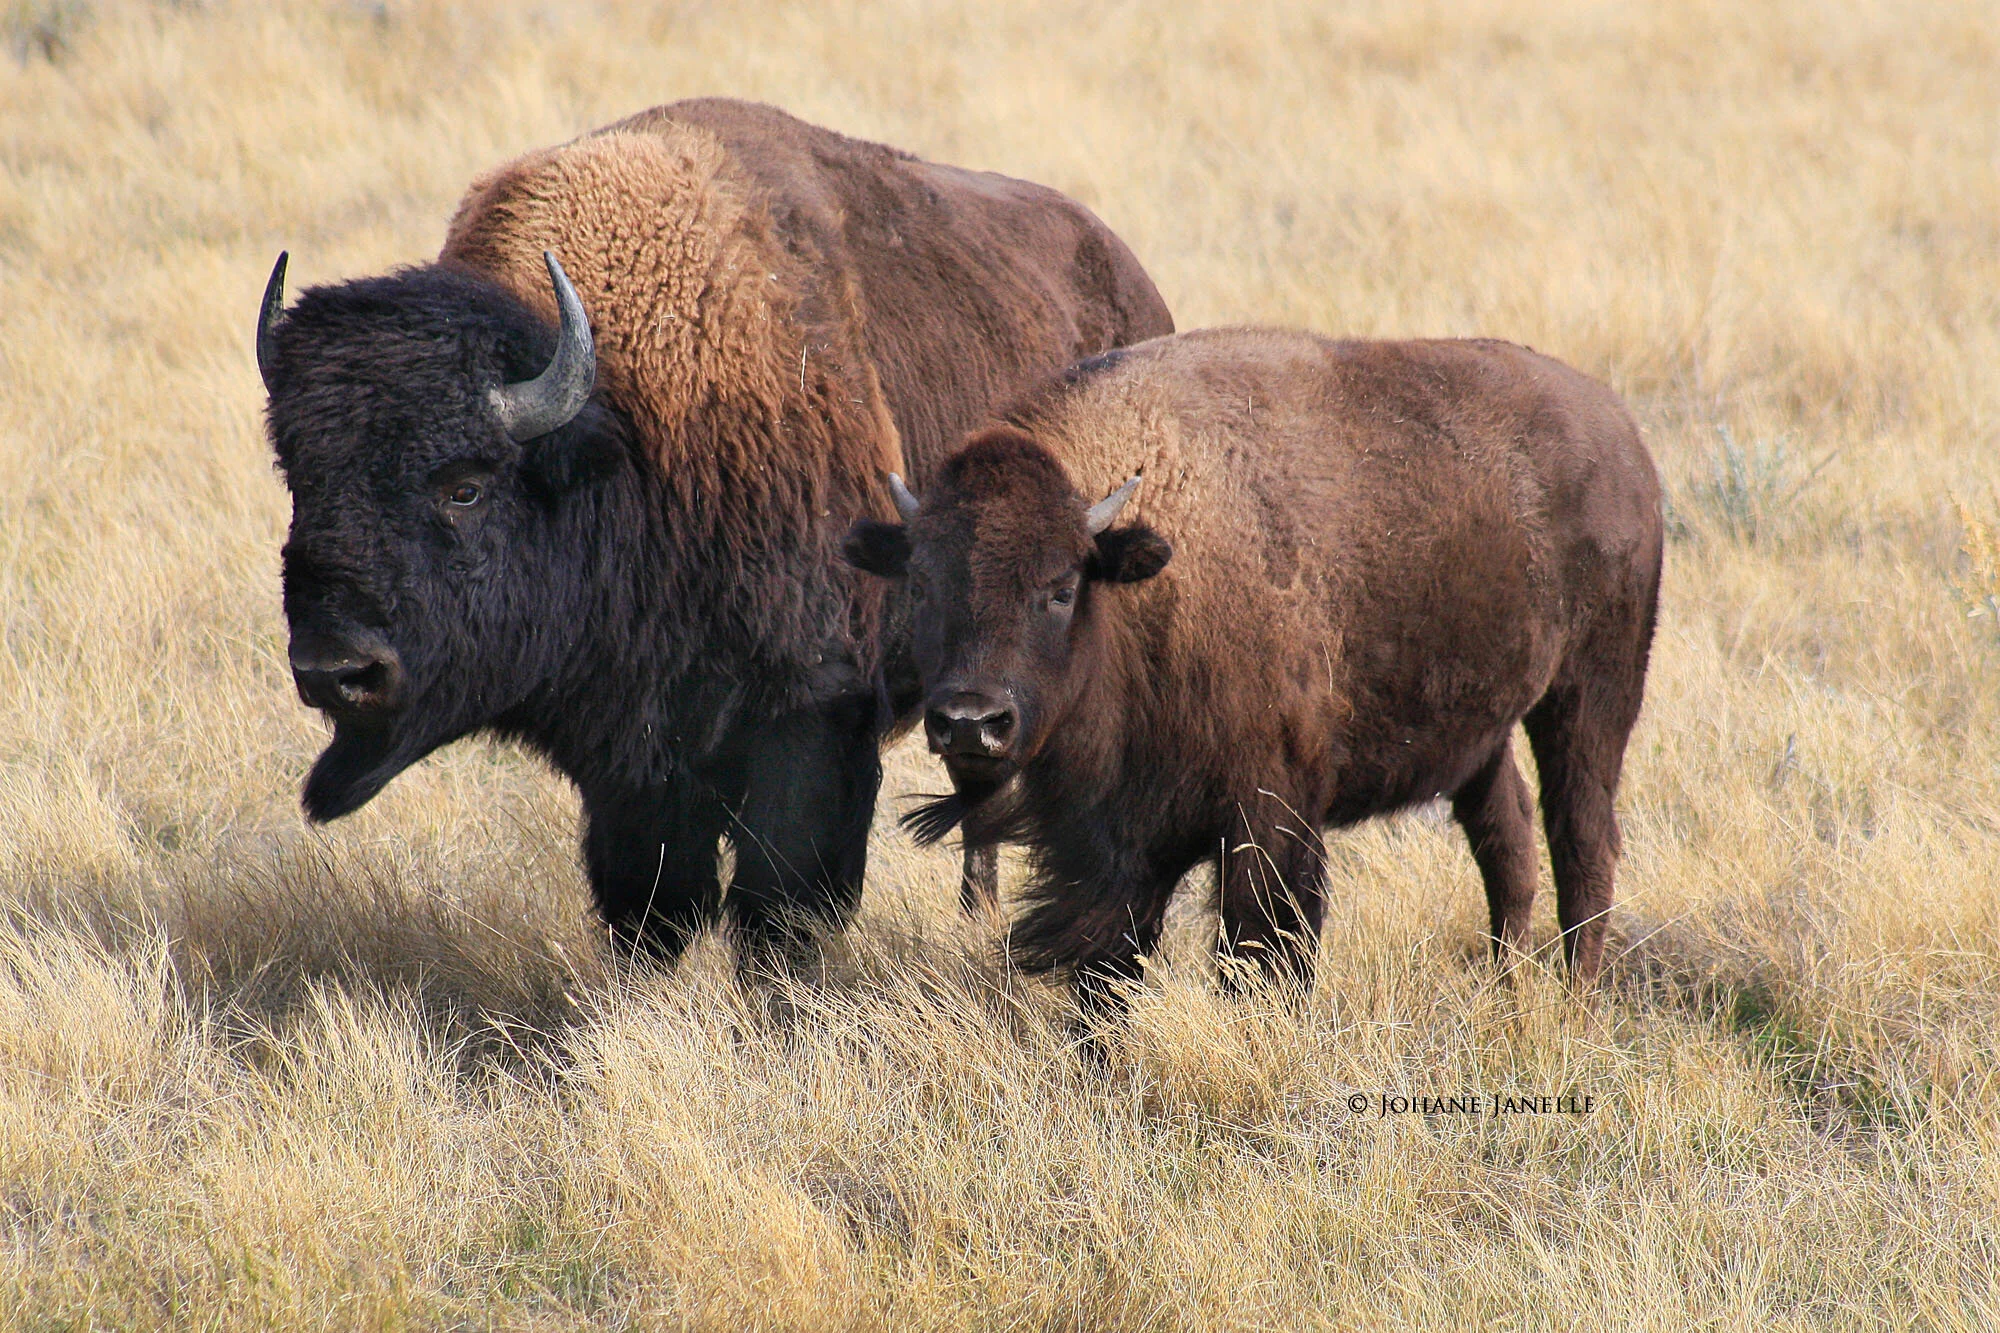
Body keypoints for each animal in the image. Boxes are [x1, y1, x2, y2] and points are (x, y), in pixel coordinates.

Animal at [257, 99, 1172, 970]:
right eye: (298, 474)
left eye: (466, 486)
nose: (336, 669)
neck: (627, 431)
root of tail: (1135, 288)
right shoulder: (630, 762)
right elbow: (650, 902)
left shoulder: (811, 723)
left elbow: (782, 905)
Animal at [842, 329, 1663, 1010]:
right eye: (921, 582)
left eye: (1060, 588)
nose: (970, 721)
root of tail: (1621, 432)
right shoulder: (1112, 841)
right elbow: (1108, 964)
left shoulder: (1268, 811)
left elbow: (1260, 943)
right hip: (1482, 732)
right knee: (1507, 838)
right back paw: (1505, 987)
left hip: (1592, 691)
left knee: (1581, 837)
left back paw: (1575, 1000)